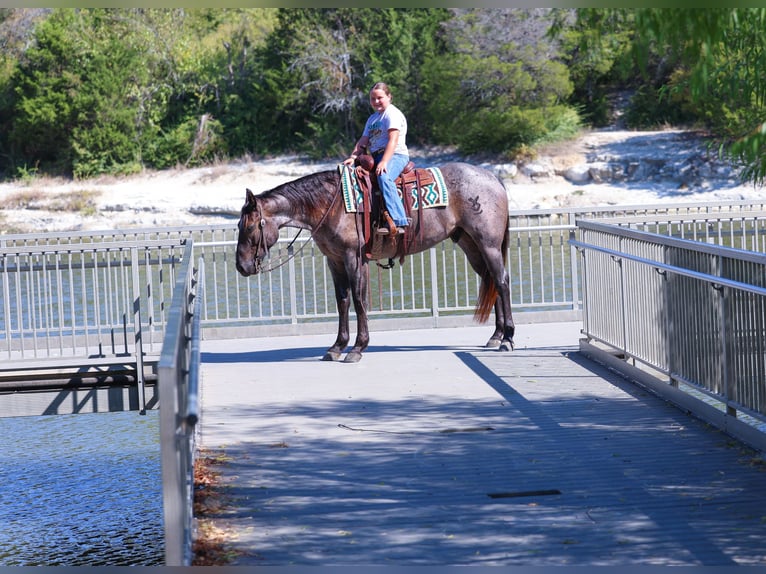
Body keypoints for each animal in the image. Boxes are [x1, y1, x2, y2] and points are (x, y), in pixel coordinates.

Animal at [235, 161, 515, 363]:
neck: (331, 205)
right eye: (238, 226)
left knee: (501, 281)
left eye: (249, 227)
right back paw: (496, 335)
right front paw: (337, 346)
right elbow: (343, 301)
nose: (241, 266)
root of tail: (492, 178)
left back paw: (508, 338)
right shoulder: (334, 260)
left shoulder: (354, 258)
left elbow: (360, 300)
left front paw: (358, 347)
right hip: (471, 244)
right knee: (491, 280)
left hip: (488, 244)